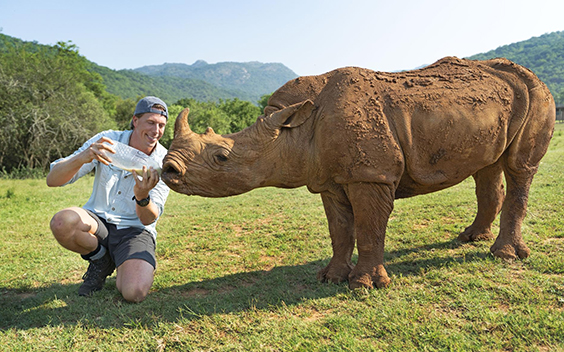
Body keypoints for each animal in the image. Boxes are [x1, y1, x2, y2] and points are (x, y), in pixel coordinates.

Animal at [160, 57, 556, 288]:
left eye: (221, 157)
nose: (168, 168)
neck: (293, 130)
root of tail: (531, 74)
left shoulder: (371, 173)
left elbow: (367, 227)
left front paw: (363, 285)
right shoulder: (329, 177)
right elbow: (339, 229)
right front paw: (330, 278)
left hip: (539, 94)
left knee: (519, 168)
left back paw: (503, 256)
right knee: (487, 168)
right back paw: (469, 238)